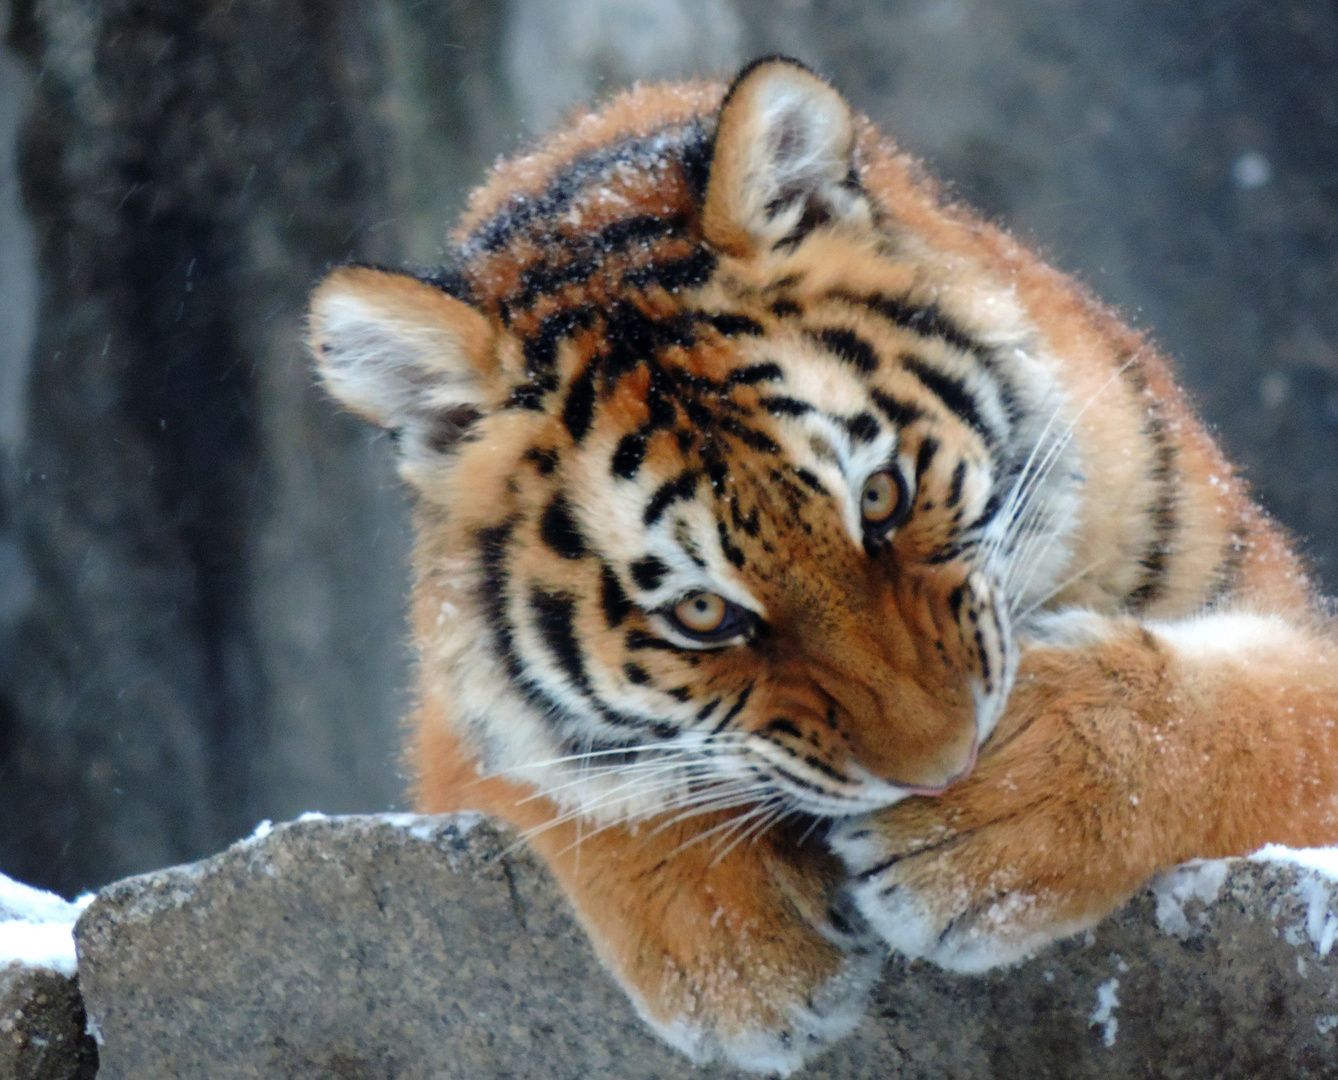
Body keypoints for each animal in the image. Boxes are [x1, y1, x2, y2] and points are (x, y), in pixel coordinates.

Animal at [306, 57, 1338, 1075]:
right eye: (703, 615)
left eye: (880, 497)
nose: (944, 771)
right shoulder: (452, 722)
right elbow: (567, 774)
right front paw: (741, 961)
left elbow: (1256, 722)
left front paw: (992, 822)